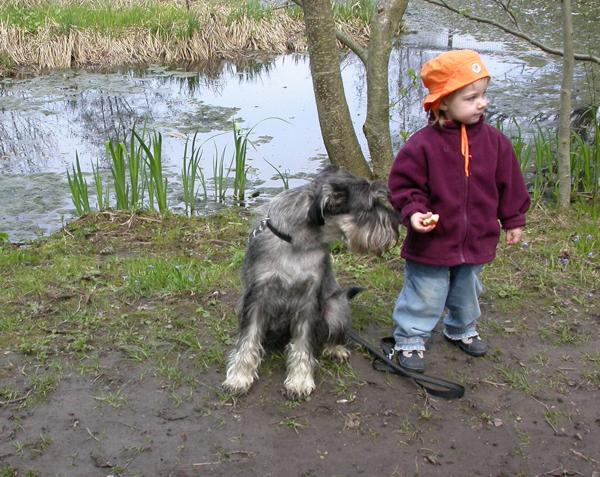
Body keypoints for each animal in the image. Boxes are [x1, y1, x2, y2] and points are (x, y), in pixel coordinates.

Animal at [223, 165, 400, 396]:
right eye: (370, 206)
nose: (398, 223)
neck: (297, 242)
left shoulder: (309, 298)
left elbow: (302, 343)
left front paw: (299, 380)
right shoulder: (256, 295)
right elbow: (248, 339)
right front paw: (239, 377)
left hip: (336, 308)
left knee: (332, 335)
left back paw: (336, 348)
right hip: (240, 305)